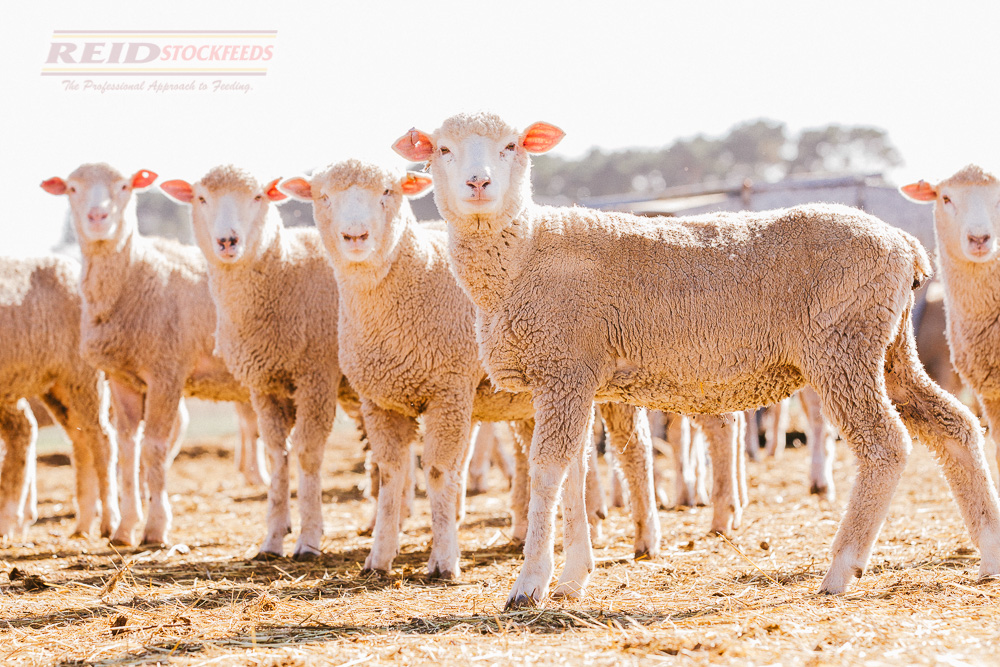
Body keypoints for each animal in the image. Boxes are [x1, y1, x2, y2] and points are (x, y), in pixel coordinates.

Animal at [0, 253, 119, 540]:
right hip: (53, 386)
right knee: (77, 440)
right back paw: (82, 523)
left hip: (82, 374)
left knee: (101, 439)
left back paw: (109, 522)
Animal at [43, 163, 266, 548]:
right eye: (72, 188)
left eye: (124, 186)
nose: (98, 217)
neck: (137, 274)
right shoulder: (122, 378)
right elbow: (128, 449)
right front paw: (124, 528)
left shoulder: (166, 371)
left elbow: (155, 448)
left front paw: (156, 528)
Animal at [280, 160, 664, 584]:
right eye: (323, 196)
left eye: (387, 192)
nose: (355, 236)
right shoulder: (380, 401)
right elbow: (391, 473)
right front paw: (379, 557)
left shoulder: (448, 390)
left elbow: (437, 472)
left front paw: (443, 560)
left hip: (610, 383)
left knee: (635, 450)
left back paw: (645, 537)